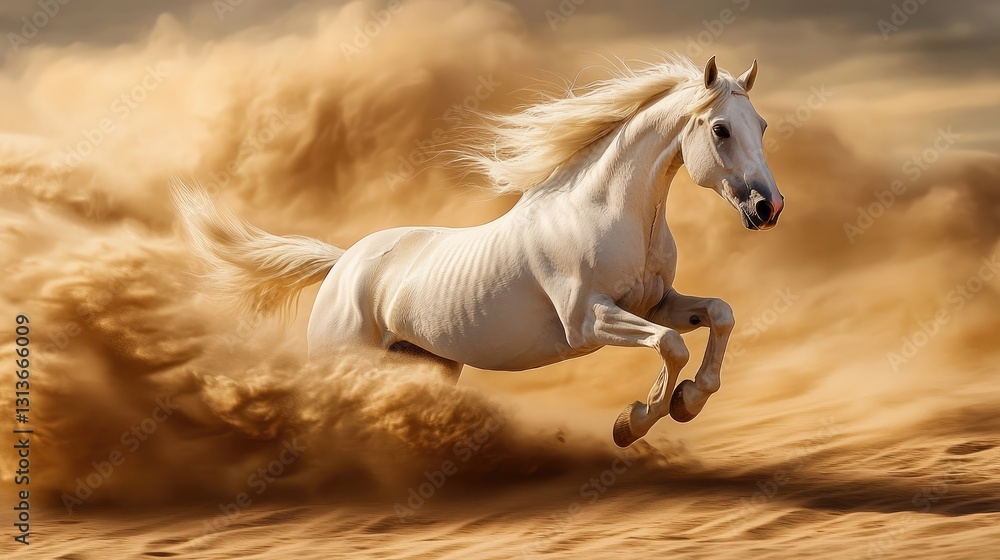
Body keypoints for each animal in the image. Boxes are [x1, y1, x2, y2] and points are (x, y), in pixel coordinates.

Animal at [174, 55, 784, 448]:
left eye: (761, 124)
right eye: (721, 129)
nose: (768, 206)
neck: (603, 209)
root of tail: (342, 265)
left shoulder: (655, 303)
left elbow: (717, 316)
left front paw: (688, 402)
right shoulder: (588, 320)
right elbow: (671, 345)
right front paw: (631, 422)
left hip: (425, 366)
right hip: (344, 362)